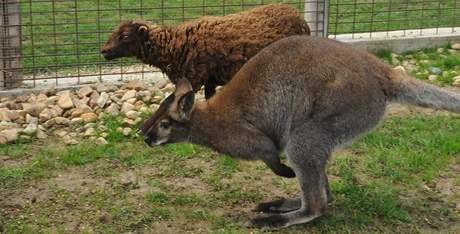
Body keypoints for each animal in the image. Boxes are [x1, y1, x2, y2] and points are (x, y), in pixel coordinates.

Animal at [100, 3, 310, 98]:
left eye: (124, 36)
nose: (103, 50)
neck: (174, 46)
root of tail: (301, 20)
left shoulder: (193, 79)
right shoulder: (210, 80)